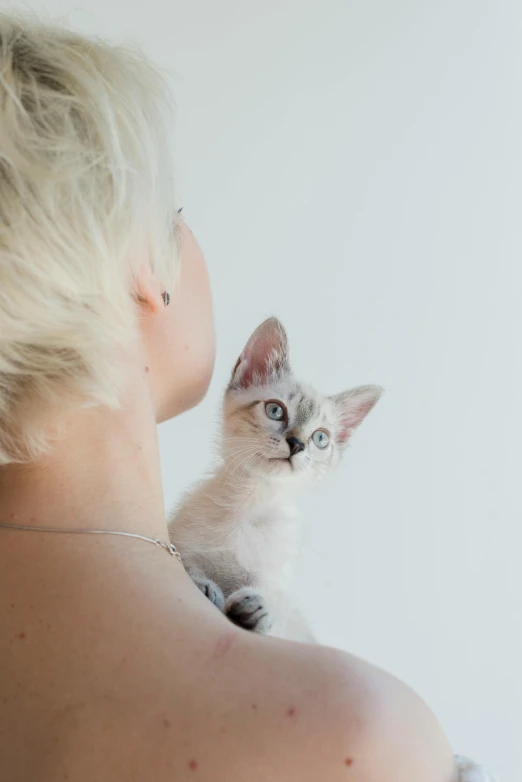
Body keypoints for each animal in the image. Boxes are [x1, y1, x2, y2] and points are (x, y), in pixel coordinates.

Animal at [169, 318, 380, 644]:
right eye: (275, 410)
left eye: (320, 438)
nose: (297, 444)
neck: (251, 499)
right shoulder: (180, 541)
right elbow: (189, 564)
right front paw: (205, 587)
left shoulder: (272, 583)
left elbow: (277, 610)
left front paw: (258, 610)